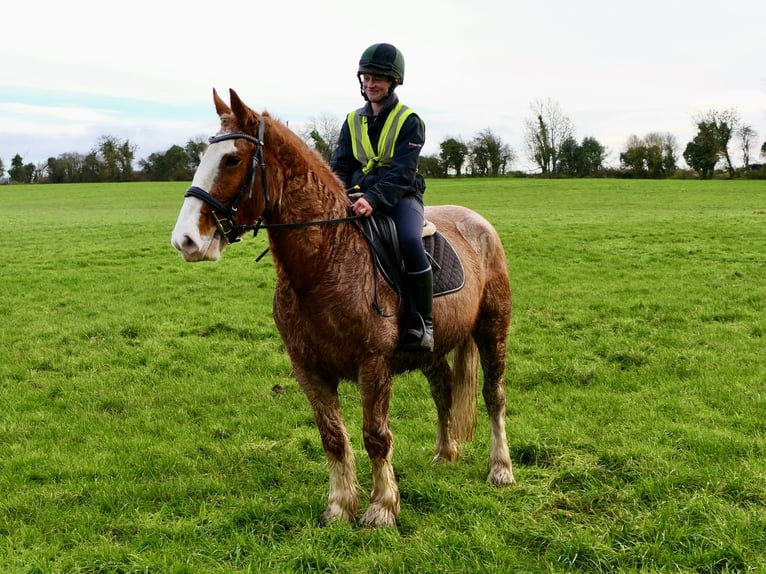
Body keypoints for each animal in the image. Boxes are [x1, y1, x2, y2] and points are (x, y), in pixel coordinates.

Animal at [170, 88, 514, 527]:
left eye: (231, 159)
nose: (185, 241)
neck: (326, 261)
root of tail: (478, 222)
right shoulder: (308, 369)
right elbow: (332, 437)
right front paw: (338, 507)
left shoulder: (373, 366)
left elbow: (375, 436)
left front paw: (381, 507)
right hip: (434, 349)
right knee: (444, 390)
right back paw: (445, 453)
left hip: (492, 328)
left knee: (493, 394)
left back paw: (500, 468)